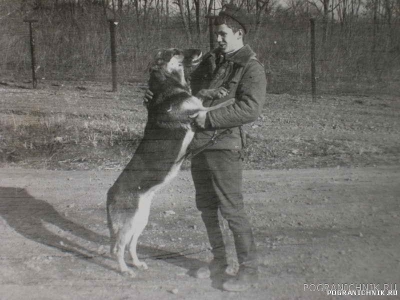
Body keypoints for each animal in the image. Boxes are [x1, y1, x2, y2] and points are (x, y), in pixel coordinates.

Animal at [106, 48, 234, 276]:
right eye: (176, 52)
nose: (203, 51)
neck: (170, 86)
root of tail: (109, 194)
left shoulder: (196, 104)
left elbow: (203, 94)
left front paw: (216, 91)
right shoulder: (196, 113)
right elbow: (212, 108)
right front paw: (232, 99)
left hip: (141, 221)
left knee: (130, 245)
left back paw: (137, 263)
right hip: (128, 224)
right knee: (119, 248)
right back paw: (125, 270)